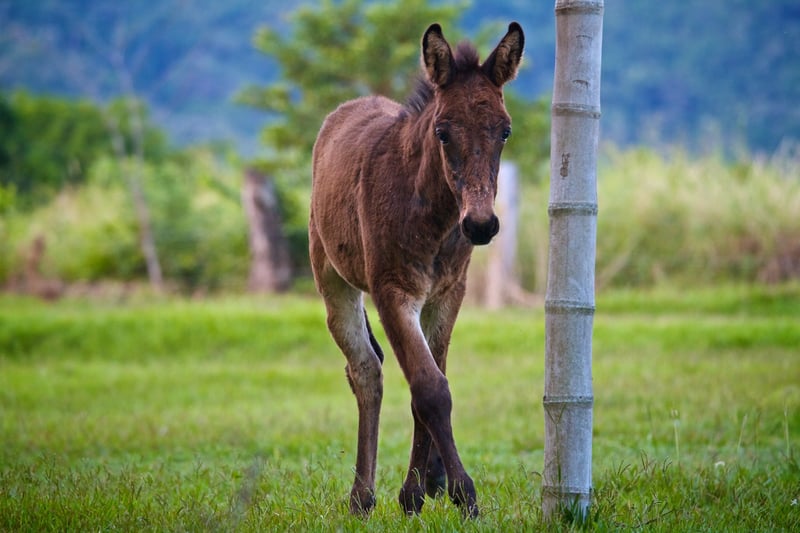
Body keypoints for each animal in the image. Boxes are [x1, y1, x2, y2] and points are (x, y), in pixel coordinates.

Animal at [308, 23, 524, 516]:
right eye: (443, 133)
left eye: (504, 131)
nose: (480, 224)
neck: (434, 215)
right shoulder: (392, 291)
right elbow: (429, 388)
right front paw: (462, 493)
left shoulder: (447, 293)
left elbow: (432, 382)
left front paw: (422, 487)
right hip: (332, 278)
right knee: (365, 371)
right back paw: (361, 496)